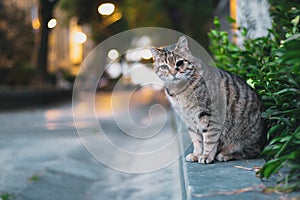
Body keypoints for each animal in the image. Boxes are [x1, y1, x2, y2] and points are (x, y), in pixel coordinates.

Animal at [151, 36, 266, 164]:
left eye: (179, 62)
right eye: (164, 67)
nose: (173, 73)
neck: (179, 90)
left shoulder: (210, 115)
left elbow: (209, 139)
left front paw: (206, 155)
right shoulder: (189, 120)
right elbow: (196, 140)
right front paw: (197, 154)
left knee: (249, 153)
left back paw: (226, 154)